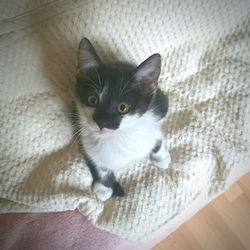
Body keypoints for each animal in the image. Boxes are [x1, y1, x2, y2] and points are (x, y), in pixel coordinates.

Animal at [75, 37, 171, 201]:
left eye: (123, 107)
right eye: (92, 100)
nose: (102, 122)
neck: (116, 138)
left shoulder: (151, 120)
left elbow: (158, 138)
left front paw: (161, 157)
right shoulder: (86, 143)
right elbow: (99, 166)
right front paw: (104, 187)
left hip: (161, 102)